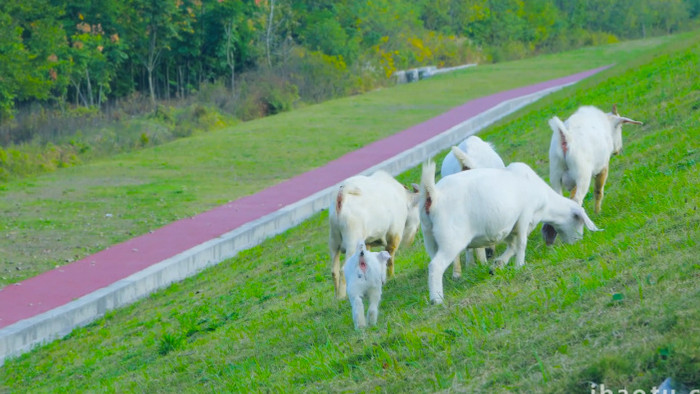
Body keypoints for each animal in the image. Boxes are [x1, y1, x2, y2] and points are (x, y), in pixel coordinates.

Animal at [418, 160, 600, 304]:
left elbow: (512, 245)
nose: (577, 243)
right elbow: (521, 243)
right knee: (436, 266)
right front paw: (519, 265)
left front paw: (498, 265)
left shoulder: (511, 225)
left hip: (429, 238)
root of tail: (433, 196)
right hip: (451, 239)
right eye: (579, 221)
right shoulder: (525, 216)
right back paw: (437, 299)